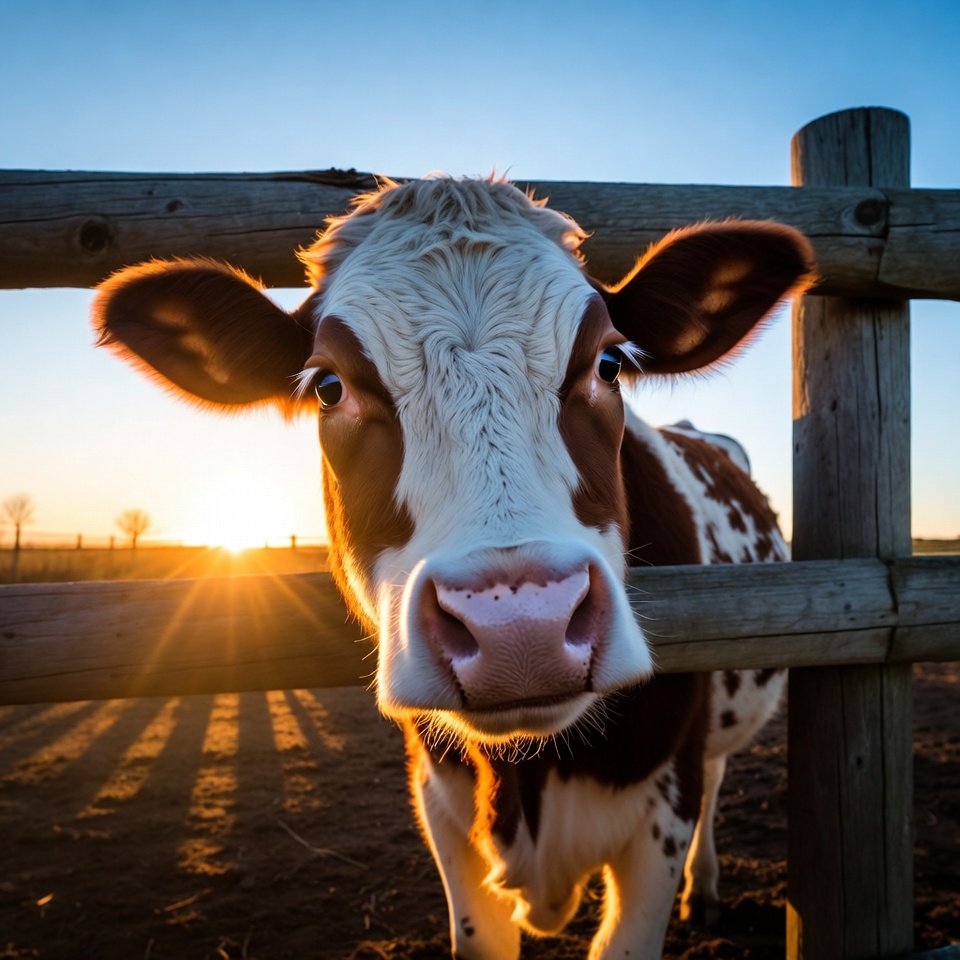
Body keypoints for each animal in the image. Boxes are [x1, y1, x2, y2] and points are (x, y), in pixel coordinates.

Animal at [92, 176, 813, 959]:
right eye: (328, 386)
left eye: (609, 364)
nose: (520, 627)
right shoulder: (441, 812)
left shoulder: (662, 812)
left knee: (716, 773)